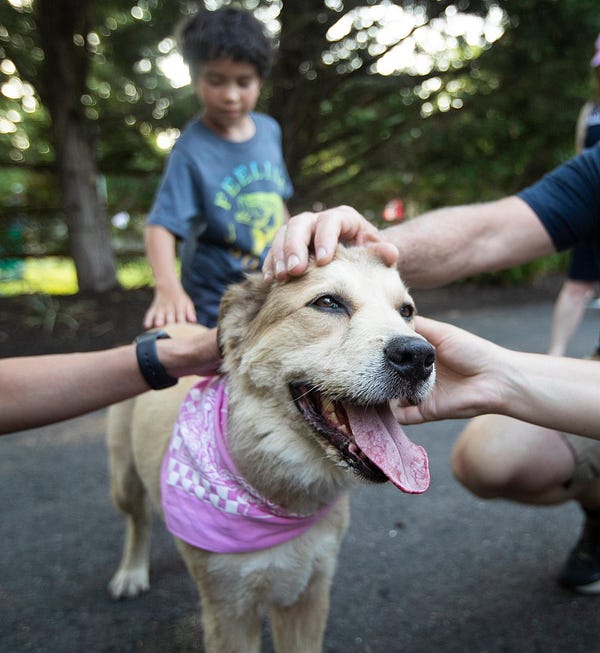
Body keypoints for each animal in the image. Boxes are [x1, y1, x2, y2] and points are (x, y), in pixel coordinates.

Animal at [106, 246, 436, 652]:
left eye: (406, 311)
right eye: (327, 302)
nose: (419, 356)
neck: (284, 497)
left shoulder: (309, 593)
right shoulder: (229, 613)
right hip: (124, 480)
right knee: (137, 519)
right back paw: (131, 571)